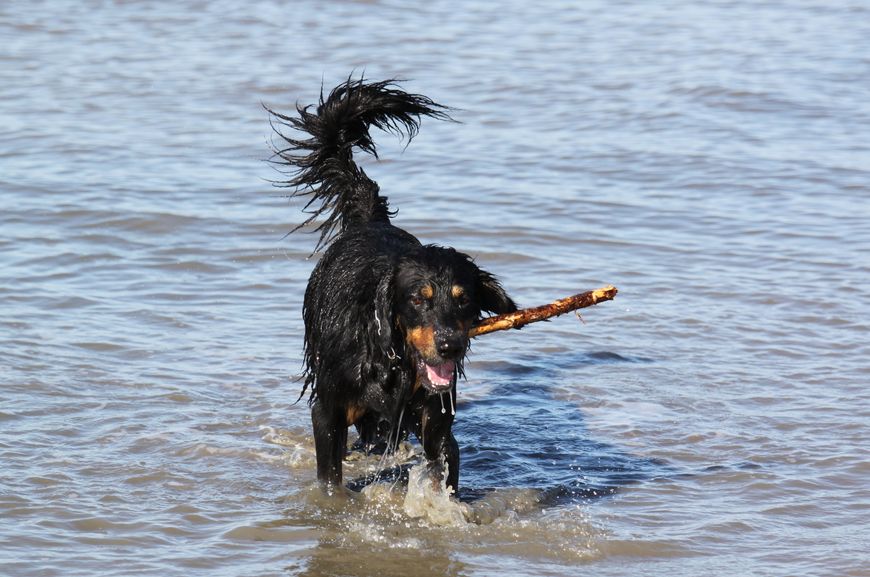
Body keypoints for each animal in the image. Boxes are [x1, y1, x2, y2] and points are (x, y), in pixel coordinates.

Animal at [268, 78, 516, 494]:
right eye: (418, 299)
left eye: (464, 300)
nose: (450, 346)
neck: (389, 357)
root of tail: (370, 221)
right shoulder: (328, 412)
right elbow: (330, 479)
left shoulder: (436, 418)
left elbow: (442, 465)